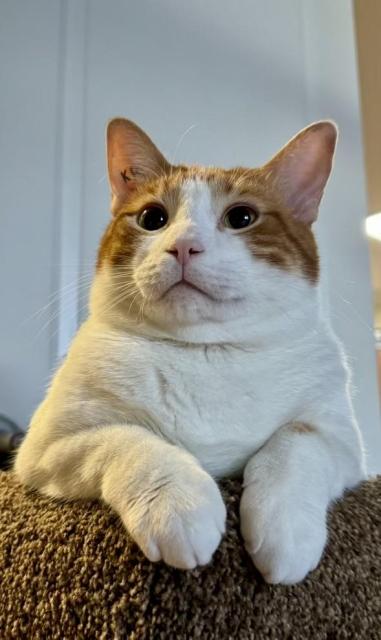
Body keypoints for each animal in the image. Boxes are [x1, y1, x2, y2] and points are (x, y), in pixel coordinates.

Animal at [14, 119, 366, 584]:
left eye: (241, 217)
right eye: (152, 218)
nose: (183, 245)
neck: (205, 353)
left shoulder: (340, 440)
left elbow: (296, 444)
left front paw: (286, 532)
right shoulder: (49, 445)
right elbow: (130, 439)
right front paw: (177, 506)